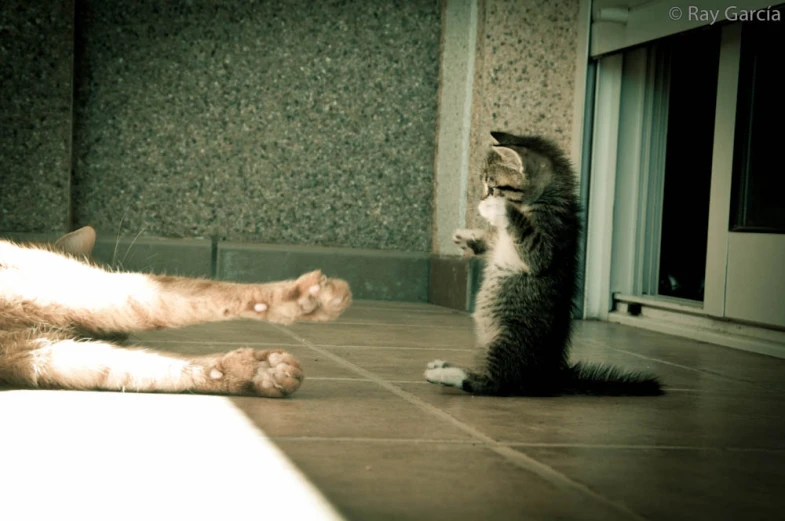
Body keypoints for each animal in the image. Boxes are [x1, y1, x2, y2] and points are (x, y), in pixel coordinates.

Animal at [0, 225, 350, 396]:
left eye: (120, 337)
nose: (118, 334)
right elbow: (190, 296)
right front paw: (305, 296)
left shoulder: (37, 355)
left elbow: (157, 370)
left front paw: (257, 372)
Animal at [422, 132, 660, 396]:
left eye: (492, 187)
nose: (482, 198)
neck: (542, 200)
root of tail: (548, 376)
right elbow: (493, 241)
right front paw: (468, 237)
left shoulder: (548, 240)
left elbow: (527, 237)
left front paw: (498, 209)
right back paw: (445, 366)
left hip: (508, 337)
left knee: (495, 383)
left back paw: (447, 374)